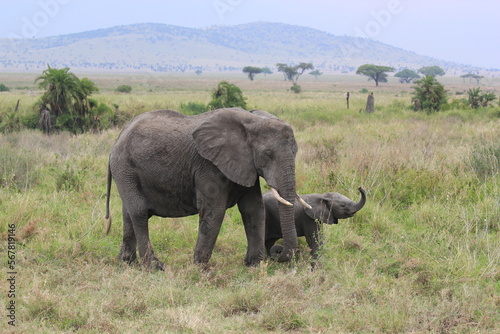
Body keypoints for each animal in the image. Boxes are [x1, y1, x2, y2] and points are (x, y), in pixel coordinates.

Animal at [105, 108, 304, 270]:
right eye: (268, 155)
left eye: (296, 152)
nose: (277, 252)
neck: (252, 120)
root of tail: (118, 138)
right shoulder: (208, 165)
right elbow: (214, 211)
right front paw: (200, 269)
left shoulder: (246, 165)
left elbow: (253, 209)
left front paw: (254, 265)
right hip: (125, 168)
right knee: (139, 212)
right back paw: (154, 267)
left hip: (126, 170)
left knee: (128, 212)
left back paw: (126, 263)